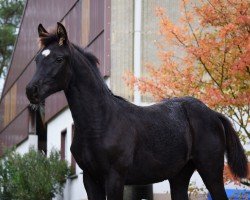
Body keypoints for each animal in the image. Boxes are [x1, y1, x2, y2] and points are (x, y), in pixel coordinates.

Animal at [25, 22, 248, 199]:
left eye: (59, 59)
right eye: (37, 59)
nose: (31, 91)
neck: (100, 122)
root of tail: (213, 114)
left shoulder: (115, 178)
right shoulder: (90, 179)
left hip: (211, 170)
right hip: (179, 176)